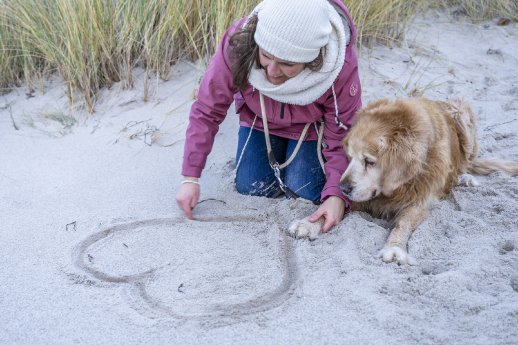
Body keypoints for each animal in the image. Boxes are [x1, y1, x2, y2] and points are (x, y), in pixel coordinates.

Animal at [290, 98, 518, 264]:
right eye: (349, 156)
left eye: (369, 161)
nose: (342, 187)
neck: (398, 187)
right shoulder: (362, 195)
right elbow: (333, 207)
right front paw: (309, 222)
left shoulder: (418, 203)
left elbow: (402, 225)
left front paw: (394, 247)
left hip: (461, 113)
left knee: (467, 162)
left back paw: (465, 178)